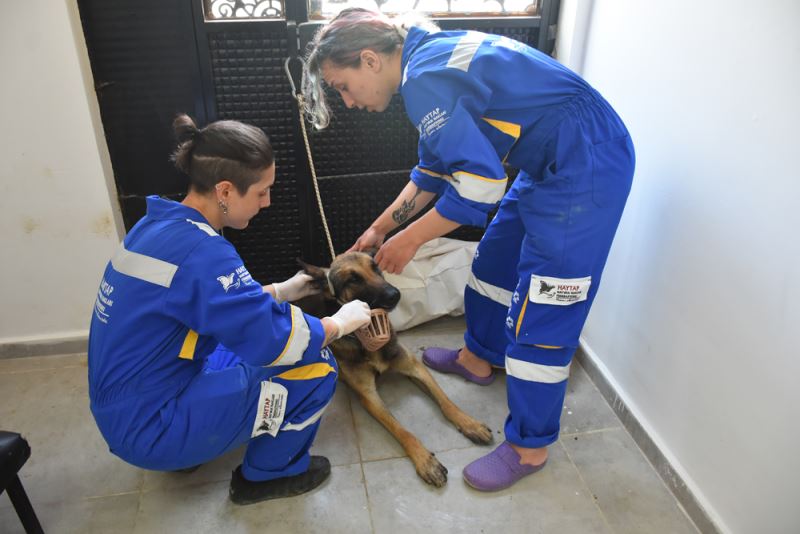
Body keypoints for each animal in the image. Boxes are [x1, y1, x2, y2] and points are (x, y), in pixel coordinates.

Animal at [296, 253, 490, 488]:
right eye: (352, 279)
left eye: (376, 267)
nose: (395, 294)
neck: (366, 336)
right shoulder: (369, 396)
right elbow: (403, 431)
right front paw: (425, 461)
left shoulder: (416, 368)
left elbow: (446, 401)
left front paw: (469, 423)